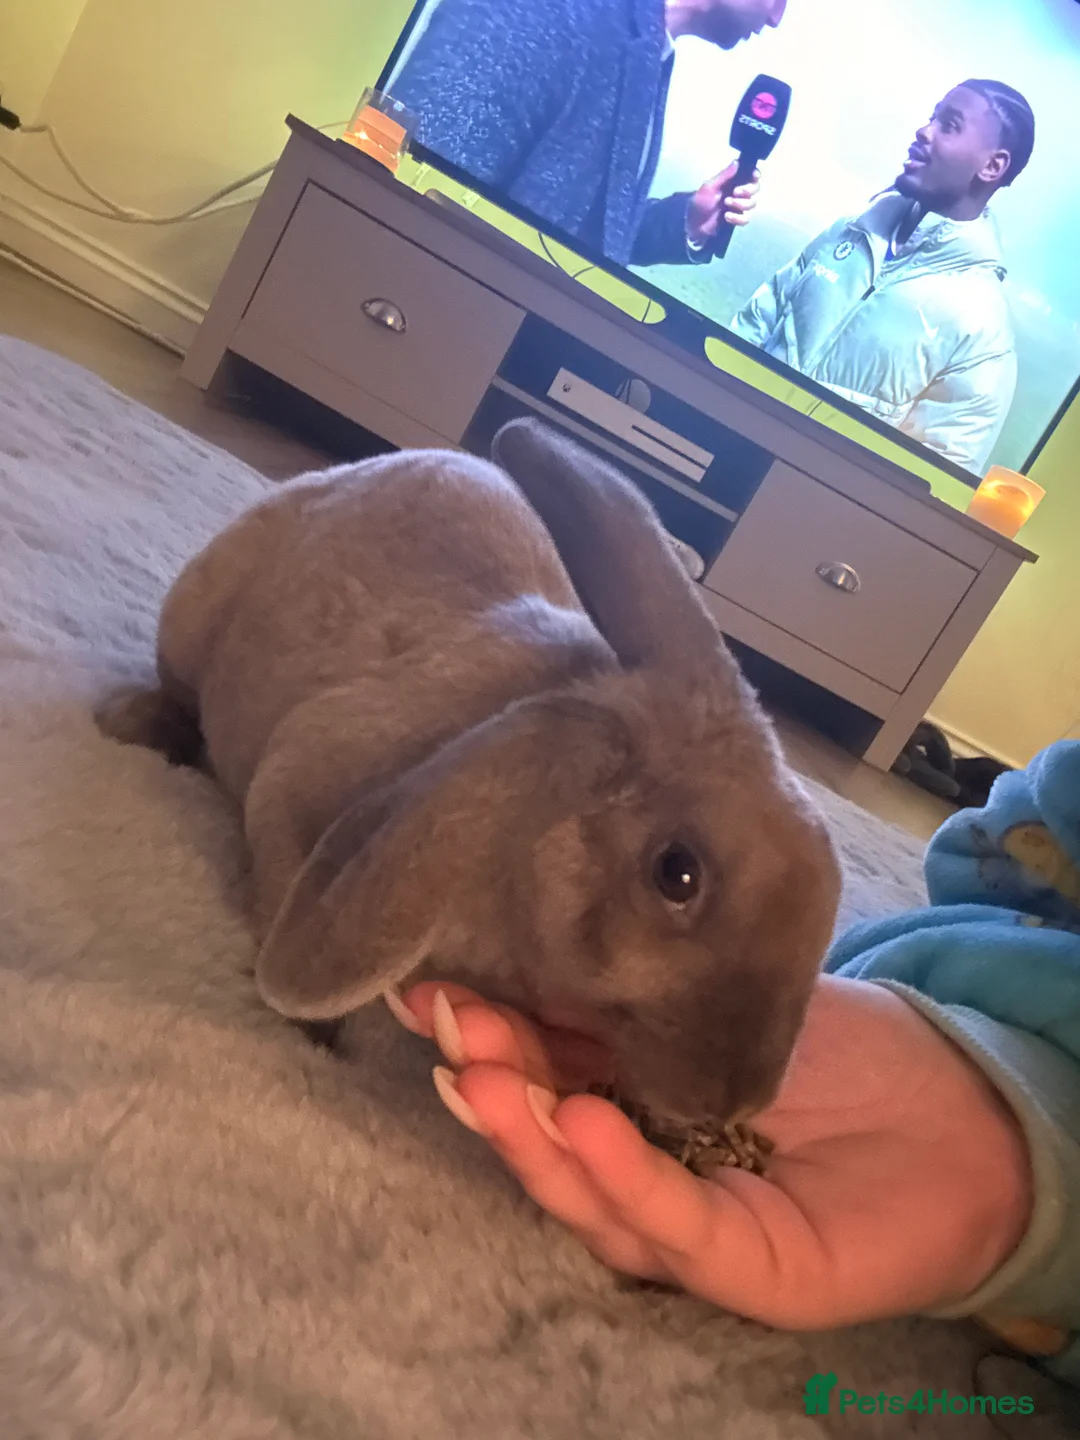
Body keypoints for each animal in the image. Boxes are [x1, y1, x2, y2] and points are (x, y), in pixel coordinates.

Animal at [98, 417, 842, 1129]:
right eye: (677, 873)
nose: (739, 1103)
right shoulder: (294, 785)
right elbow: (281, 882)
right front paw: (312, 1030)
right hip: (192, 620)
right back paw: (133, 726)